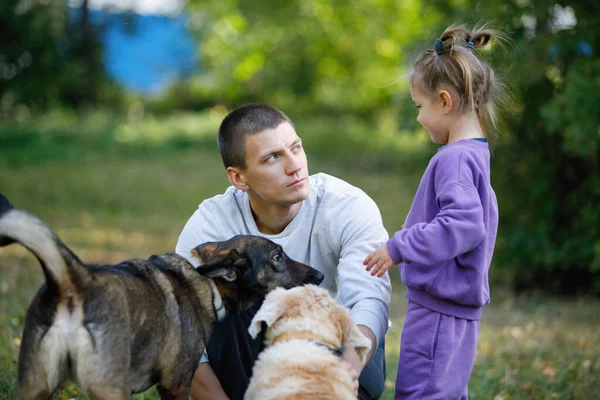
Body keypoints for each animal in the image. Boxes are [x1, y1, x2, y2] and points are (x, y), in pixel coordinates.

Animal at [0, 195, 324, 398]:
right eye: (278, 257)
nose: (320, 276)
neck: (208, 283)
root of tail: (71, 280)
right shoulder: (177, 383)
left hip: (35, 385)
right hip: (110, 389)